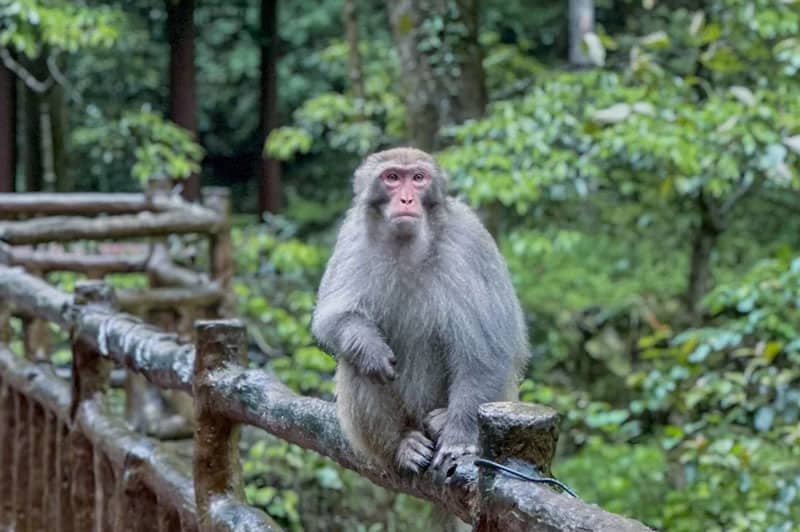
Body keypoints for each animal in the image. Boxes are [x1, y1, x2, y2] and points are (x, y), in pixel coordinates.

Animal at [311, 147, 530, 477]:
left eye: (417, 178)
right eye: (392, 177)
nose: (406, 199)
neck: (408, 245)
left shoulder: (469, 241)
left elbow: (486, 350)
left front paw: (459, 438)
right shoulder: (352, 237)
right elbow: (332, 317)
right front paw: (370, 347)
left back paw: (442, 421)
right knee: (356, 364)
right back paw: (401, 444)